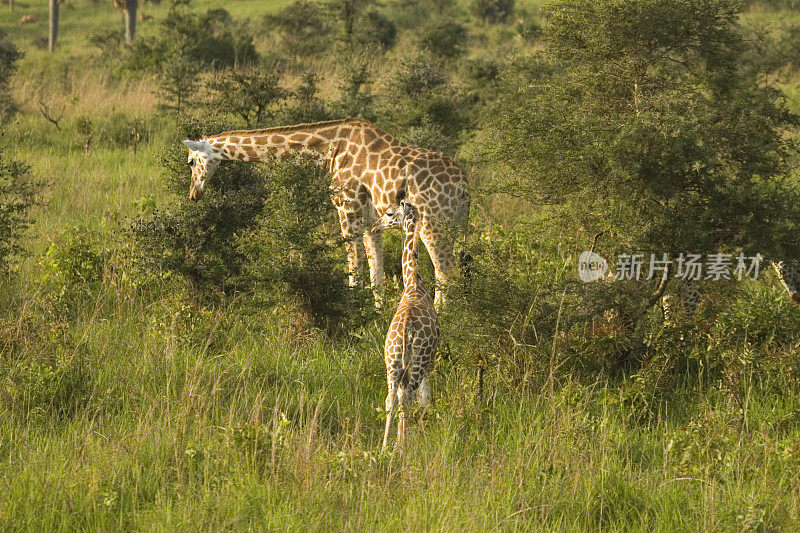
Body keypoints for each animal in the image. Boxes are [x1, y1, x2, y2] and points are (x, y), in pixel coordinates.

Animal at [181, 117, 468, 308]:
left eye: (191, 162)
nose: (194, 194)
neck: (329, 149)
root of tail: (464, 184)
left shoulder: (346, 207)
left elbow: (354, 263)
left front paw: (353, 312)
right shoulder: (371, 219)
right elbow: (376, 268)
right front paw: (377, 315)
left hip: (433, 222)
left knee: (445, 271)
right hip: (453, 224)